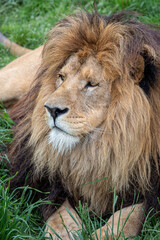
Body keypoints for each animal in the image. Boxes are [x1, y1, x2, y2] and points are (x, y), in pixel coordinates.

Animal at [0, 11, 160, 240]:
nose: (51, 109)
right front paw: (65, 233)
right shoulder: (44, 179)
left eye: (91, 84)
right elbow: (59, 214)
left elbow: (128, 220)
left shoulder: (147, 187)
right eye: (61, 77)